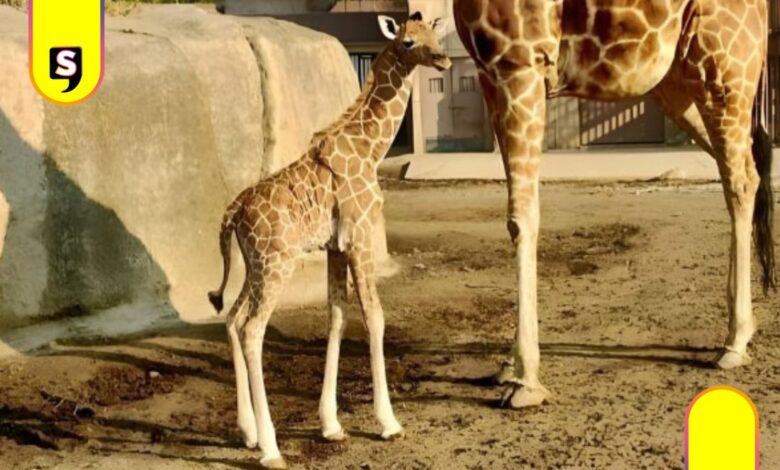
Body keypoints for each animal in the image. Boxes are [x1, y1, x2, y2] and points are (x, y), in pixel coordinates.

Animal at [208, 13, 451, 468]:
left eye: (434, 34)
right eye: (408, 42)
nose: (443, 59)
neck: (370, 149)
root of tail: (233, 212)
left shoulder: (336, 247)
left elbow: (336, 319)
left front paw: (331, 425)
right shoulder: (360, 237)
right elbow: (374, 316)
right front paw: (388, 423)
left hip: (255, 265)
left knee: (231, 317)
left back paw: (248, 432)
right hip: (276, 264)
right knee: (251, 329)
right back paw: (270, 448)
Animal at [454, 0, 775, 409]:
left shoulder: (521, 62)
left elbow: (521, 216)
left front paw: (526, 382)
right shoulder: (490, 75)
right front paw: (510, 367)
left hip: (724, 73)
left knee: (741, 179)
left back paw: (735, 342)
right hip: (677, 84)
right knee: (742, 170)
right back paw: (740, 333)